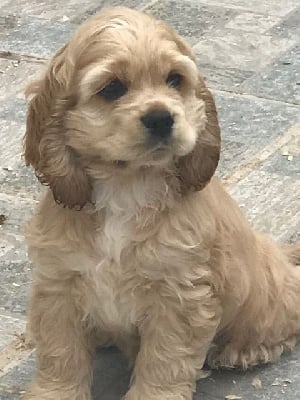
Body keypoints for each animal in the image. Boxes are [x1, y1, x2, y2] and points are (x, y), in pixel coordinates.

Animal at [23, 6, 300, 400]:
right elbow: (60, 353)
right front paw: (53, 393)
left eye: (174, 79)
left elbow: (164, 360)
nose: (161, 117)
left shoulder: (180, 295)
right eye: (112, 88)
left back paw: (240, 350)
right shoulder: (59, 282)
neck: (126, 186)